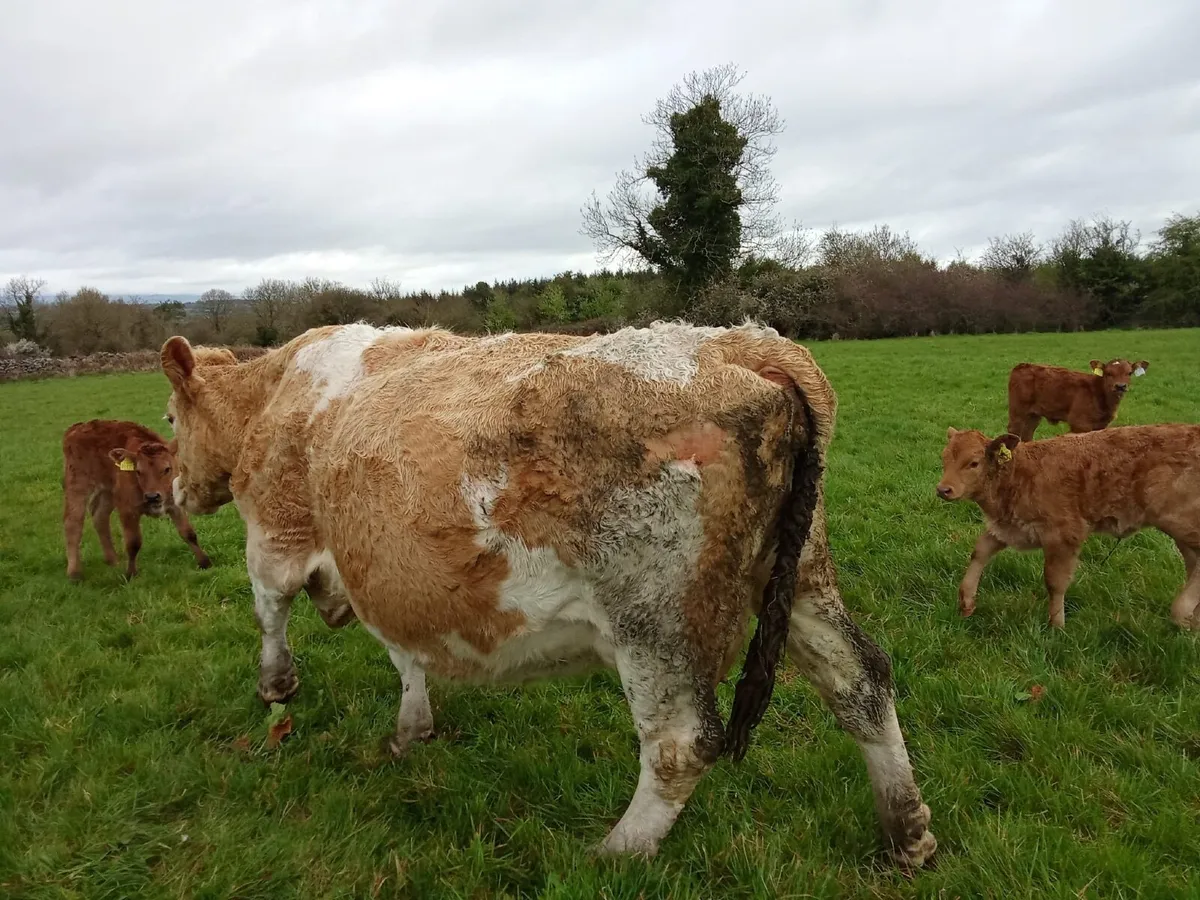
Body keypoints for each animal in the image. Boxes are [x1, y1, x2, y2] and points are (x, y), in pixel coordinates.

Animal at [62, 419, 212, 581]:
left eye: (167, 469)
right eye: (138, 471)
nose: (153, 496)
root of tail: (76, 428)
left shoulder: (176, 506)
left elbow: (188, 533)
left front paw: (205, 562)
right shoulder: (128, 510)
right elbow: (133, 542)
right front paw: (130, 574)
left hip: (108, 492)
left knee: (100, 516)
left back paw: (113, 560)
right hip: (78, 485)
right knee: (73, 523)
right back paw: (74, 573)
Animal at [158, 320, 937, 867]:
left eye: (168, 419)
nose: (171, 493)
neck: (277, 393)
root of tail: (742, 345)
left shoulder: (276, 535)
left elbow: (271, 612)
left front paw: (276, 687)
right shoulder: (390, 572)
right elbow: (406, 654)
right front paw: (413, 728)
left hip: (654, 620)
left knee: (682, 743)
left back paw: (614, 854)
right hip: (799, 575)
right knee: (862, 680)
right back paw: (908, 833)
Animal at [936, 425, 1200, 629]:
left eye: (973, 463)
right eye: (944, 458)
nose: (943, 489)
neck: (1020, 474)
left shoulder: (1063, 534)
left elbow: (1055, 581)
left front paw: (1057, 625)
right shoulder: (1010, 527)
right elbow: (980, 551)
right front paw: (966, 602)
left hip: (1179, 522)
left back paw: (1182, 611)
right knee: (1193, 563)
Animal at [1006, 358, 1149, 442]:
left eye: (1129, 373)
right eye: (1108, 373)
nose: (1120, 386)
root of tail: (1022, 365)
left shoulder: (1101, 425)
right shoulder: (1079, 423)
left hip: (1033, 415)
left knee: (1027, 434)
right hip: (1017, 413)